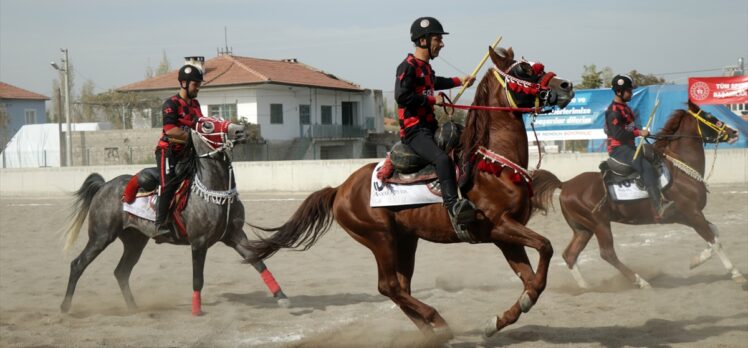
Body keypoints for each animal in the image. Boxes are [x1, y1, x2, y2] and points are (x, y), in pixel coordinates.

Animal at [60, 117, 290, 316]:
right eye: (207, 124)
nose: (240, 130)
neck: (214, 192)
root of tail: (104, 186)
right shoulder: (199, 242)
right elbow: (198, 278)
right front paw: (196, 310)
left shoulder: (235, 235)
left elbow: (257, 262)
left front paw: (281, 296)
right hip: (101, 236)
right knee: (78, 264)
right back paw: (65, 306)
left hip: (135, 240)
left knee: (121, 272)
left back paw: (133, 307)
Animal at [243, 46, 576, 338]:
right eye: (524, 70)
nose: (567, 85)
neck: (492, 163)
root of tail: (340, 189)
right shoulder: (500, 225)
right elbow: (546, 247)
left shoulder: (505, 236)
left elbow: (531, 280)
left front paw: (499, 320)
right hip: (380, 239)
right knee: (388, 286)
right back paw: (437, 320)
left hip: (405, 240)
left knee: (400, 288)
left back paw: (431, 331)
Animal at [532, 101, 744, 290]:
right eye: (710, 117)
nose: (734, 132)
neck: (680, 169)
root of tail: (565, 184)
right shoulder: (691, 212)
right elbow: (715, 242)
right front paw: (735, 273)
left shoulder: (684, 216)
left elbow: (714, 233)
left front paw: (696, 261)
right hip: (600, 225)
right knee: (607, 254)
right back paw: (640, 281)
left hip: (583, 229)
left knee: (570, 255)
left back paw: (586, 287)